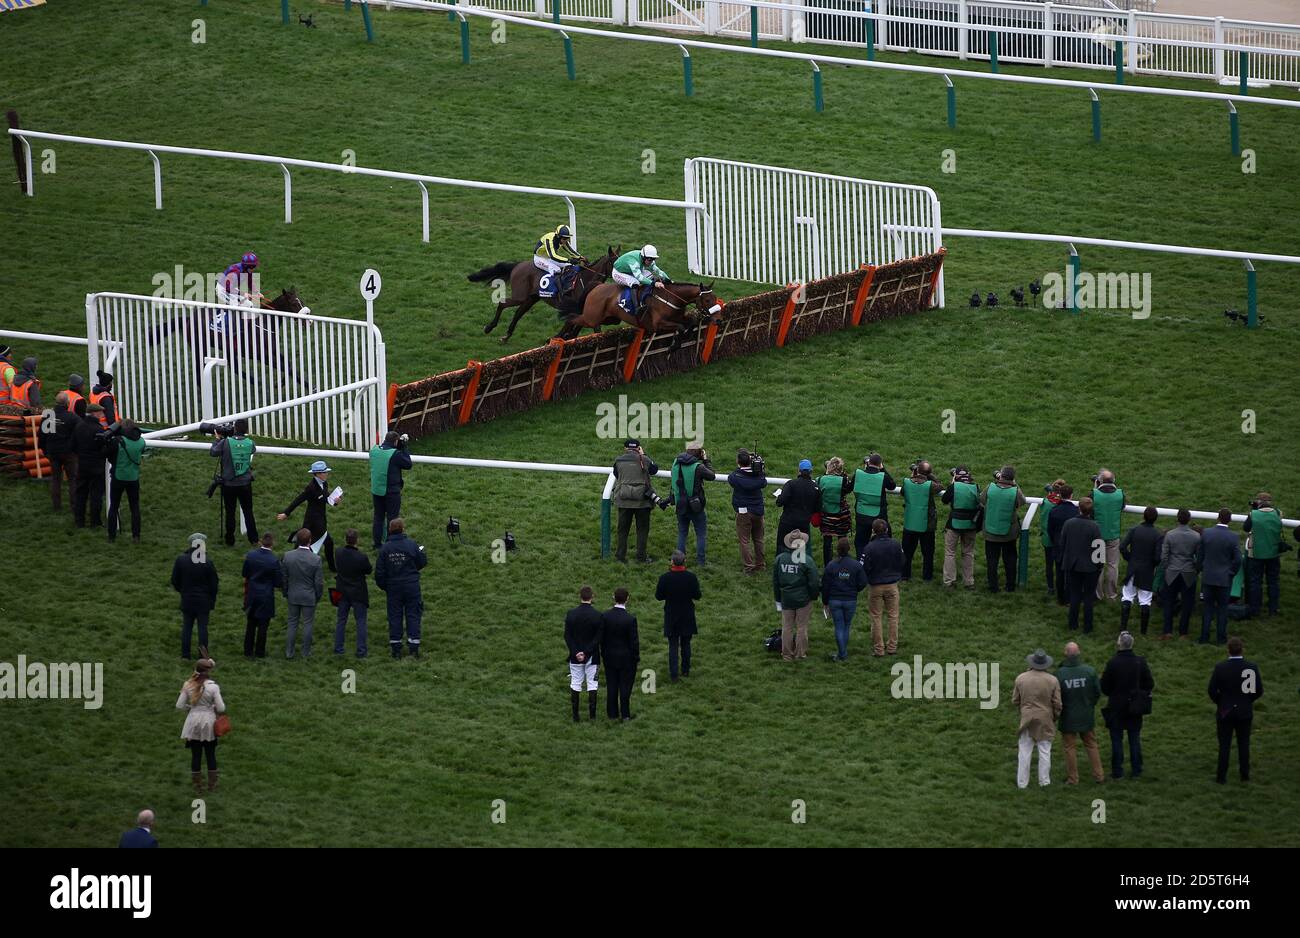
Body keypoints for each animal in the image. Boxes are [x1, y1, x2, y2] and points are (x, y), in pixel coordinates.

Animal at [473, 242, 618, 340]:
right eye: (614, 262)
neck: (587, 280)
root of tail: (518, 265)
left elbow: (584, 327)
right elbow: (576, 326)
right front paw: (554, 339)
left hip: (532, 297)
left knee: (519, 312)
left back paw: (507, 335)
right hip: (520, 295)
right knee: (503, 304)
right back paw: (489, 327)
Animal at [556, 279, 722, 353]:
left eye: (715, 298)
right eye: (707, 300)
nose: (719, 319)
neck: (671, 298)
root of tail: (597, 286)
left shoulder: (678, 316)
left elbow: (691, 322)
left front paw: (685, 337)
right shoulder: (657, 325)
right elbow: (680, 327)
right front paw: (673, 346)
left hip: (609, 319)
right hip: (592, 317)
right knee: (572, 318)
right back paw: (560, 337)